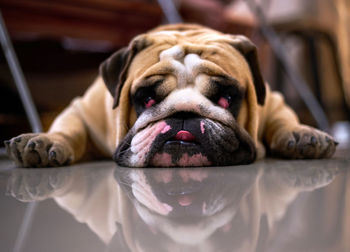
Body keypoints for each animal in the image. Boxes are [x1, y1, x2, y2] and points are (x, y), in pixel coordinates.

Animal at [3, 24, 336, 168]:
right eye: (147, 99)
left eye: (227, 98)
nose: (184, 115)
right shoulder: (83, 108)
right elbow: (69, 128)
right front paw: (47, 142)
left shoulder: (274, 100)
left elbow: (283, 118)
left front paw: (302, 134)